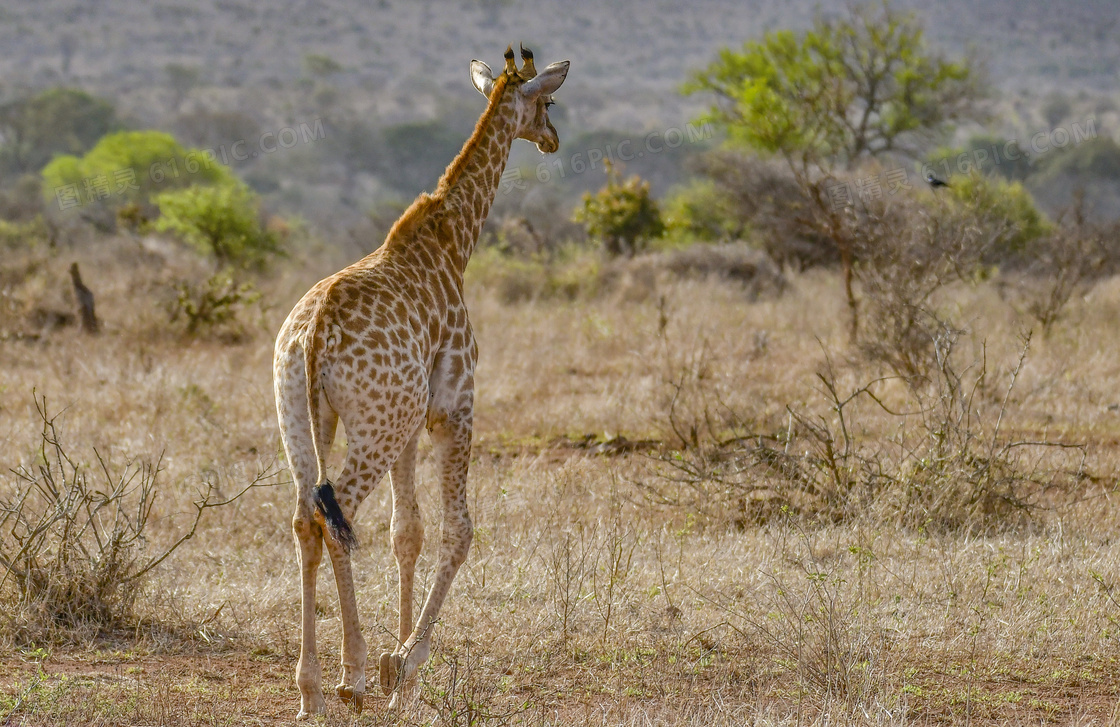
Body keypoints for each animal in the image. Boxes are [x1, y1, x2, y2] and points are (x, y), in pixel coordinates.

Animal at [271, 46, 568, 721]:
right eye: (547, 100)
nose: (553, 139)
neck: (455, 242)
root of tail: (312, 336)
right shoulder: (454, 403)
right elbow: (459, 532)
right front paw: (403, 663)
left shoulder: (411, 420)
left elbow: (406, 533)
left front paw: (396, 667)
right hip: (372, 427)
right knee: (335, 515)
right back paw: (350, 677)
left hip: (302, 417)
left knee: (305, 518)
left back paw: (310, 690)